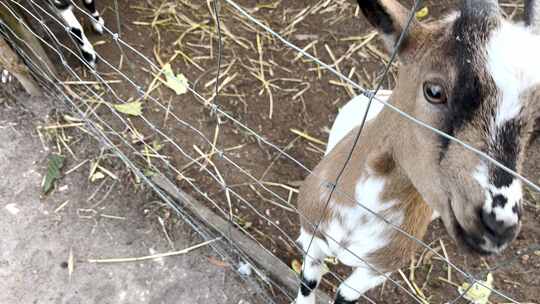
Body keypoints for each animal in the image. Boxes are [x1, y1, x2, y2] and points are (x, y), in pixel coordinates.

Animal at [296, 1, 540, 302]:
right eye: (434, 91)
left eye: (536, 127)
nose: (500, 224)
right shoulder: (312, 234)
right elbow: (308, 282)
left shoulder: (376, 271)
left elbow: (344, 295)